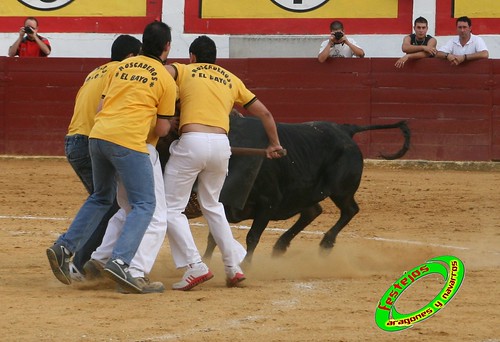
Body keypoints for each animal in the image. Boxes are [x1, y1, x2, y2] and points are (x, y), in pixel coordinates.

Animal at [157, 116, 410, 264]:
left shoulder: (267, 204)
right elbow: (214, 236)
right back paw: (281, 246)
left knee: (349, 210)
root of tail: (345, 129)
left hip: (341, 189)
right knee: (313, 211)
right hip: (306, 192)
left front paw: (246, 265)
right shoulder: (225, 206)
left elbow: (252, 236)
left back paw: (325, 244)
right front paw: (208, 260)